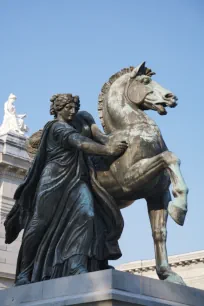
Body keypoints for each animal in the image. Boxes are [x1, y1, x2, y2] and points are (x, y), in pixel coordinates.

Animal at [95, 61, 189, 284]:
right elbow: (169, 157)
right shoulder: (129, 180)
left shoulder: (156, 194)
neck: (132, 131)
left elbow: (159, 233)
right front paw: (180, 207)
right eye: (145, 81)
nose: (172, 97)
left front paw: (167, 274)